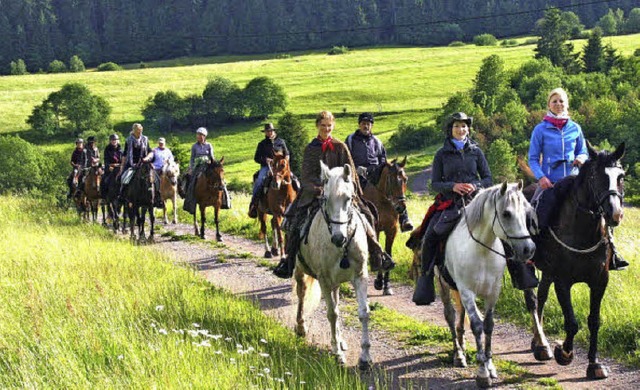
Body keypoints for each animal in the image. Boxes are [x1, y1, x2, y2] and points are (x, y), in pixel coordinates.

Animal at [296, 161, 376, 368]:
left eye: (348, 198)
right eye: (325, 199)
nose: (339, 238)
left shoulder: (360, 276)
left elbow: (363, 313)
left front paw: (365, 357)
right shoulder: (323, 279)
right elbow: (332, 314)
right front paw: (338, 355)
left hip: (336, 283)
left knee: (337, 302)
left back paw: (339, 341)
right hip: (300, 270)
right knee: (302, 294)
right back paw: (301, 327)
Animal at [362, 156, 408, 296]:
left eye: (405, 179)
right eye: (391, 180)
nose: (401, 208)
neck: (383, 201)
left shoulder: (392, 230)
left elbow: (388, 251)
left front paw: (386, 285)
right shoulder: (375, 229)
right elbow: (378, 250)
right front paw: (378, 282)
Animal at [436, 182, 536, 386]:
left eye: (525, 212)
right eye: (506, 214)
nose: (529, 249)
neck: (481, 250)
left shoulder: (492, 293)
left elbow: (488, 325)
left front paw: (490, 365)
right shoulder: (467, 291)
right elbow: (477, 326)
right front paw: (482, 372)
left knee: (460, 316)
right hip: (443, 285)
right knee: (450, 316)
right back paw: (458, 353)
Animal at [524, 141, 624, 380]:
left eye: (621, 176)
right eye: (596, 176)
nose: (615, 214)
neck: (581, 231)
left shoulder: (599, 282)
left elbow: (594, 321)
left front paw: (594, 364)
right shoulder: (563, 282)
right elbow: (571, 322)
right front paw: (565, 353)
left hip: (547, 272)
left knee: (541, 297)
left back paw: (539, 342)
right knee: (532, 299)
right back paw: (541, 345)